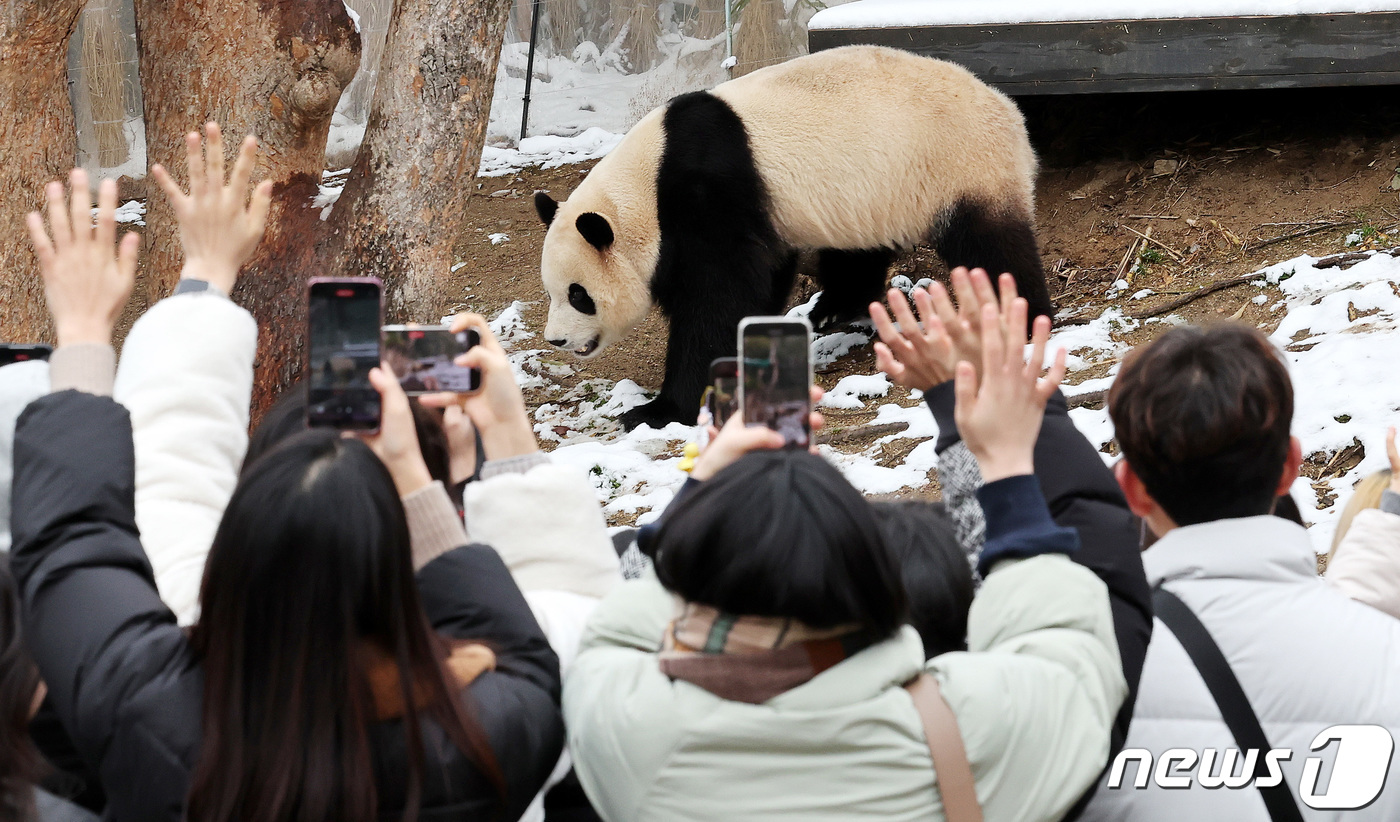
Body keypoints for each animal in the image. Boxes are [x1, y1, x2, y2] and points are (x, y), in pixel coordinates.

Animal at [532, 45, 1052, 431]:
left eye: (579, 295)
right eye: (552, 292)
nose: (556, 340)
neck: (643, 189)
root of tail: (1009, 110)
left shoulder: (705, 196)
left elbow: (717, 298)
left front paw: (658, 410)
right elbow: (760, 279)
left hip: (960, 164)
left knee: (991, 247)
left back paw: (1018, 316)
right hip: (868, 192)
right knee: (855, 251)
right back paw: (833, 309)